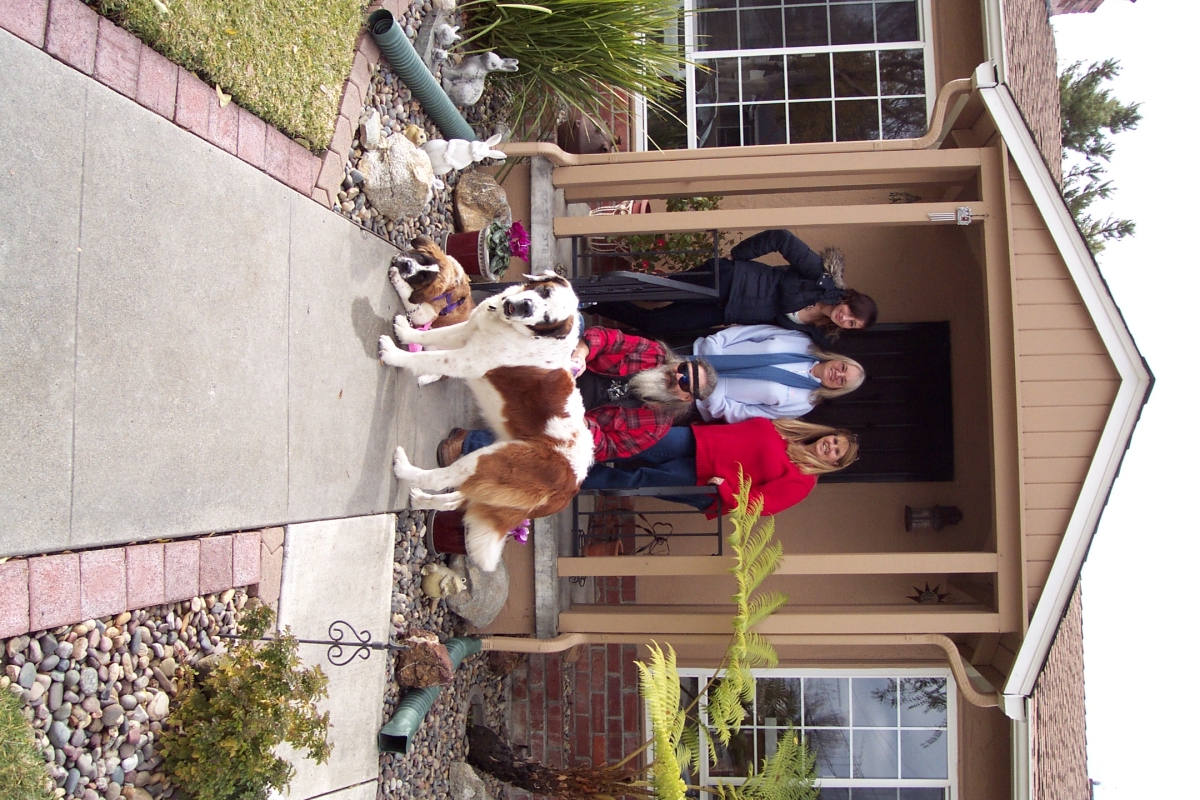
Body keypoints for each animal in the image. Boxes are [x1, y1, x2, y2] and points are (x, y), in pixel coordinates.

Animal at [378, 274, 592, 571]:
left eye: (547, 318)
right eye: (544, 292)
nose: (526, 306)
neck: (510, 326)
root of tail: (573, 484)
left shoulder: (466, 359)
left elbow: (428, 356)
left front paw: (394, 355)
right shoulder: (469, 329)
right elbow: (434, 335)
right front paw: (407, 333)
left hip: (488, 460)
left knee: (440, 477)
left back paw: (403, 468)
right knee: (457, 500)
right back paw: (422, 499)